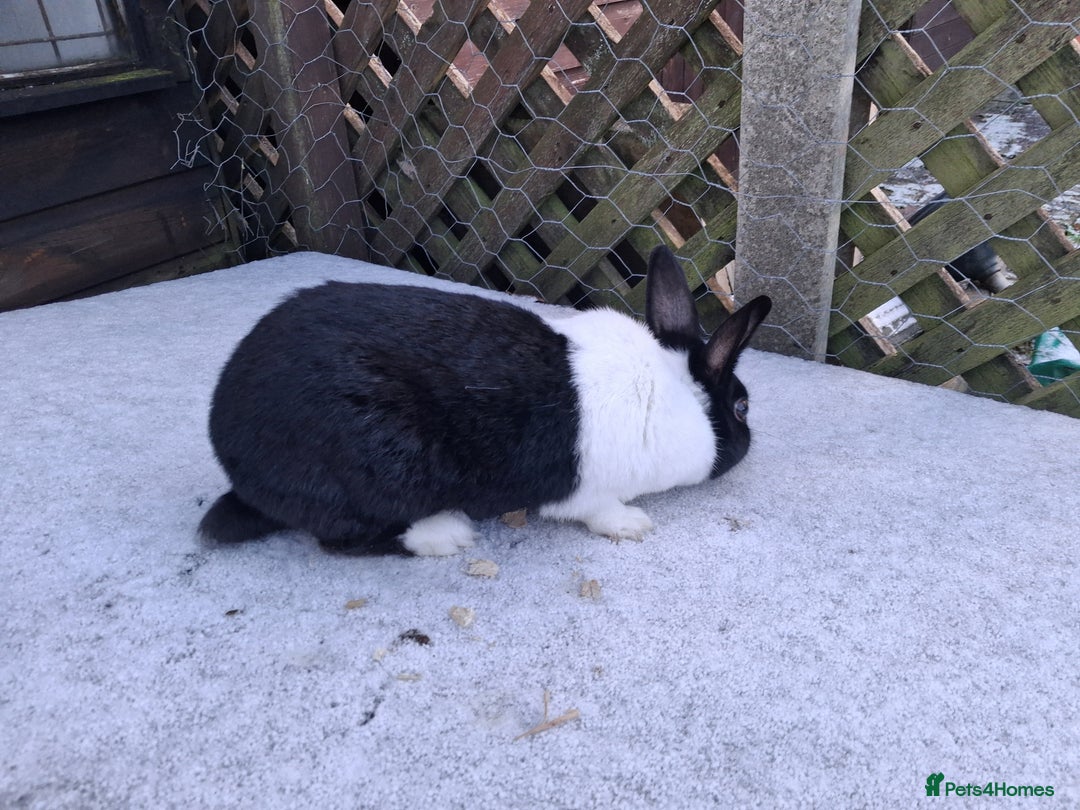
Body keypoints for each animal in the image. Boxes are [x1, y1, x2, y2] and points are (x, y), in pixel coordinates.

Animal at [199, 245, 771, 555]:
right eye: (741, 408)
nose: (750, 442)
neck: (672, 391)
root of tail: (233, 457)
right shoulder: (589, 491)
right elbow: (598, 512)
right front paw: (633, 525)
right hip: (376, 471)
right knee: (344, 537)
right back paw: (445, 535)